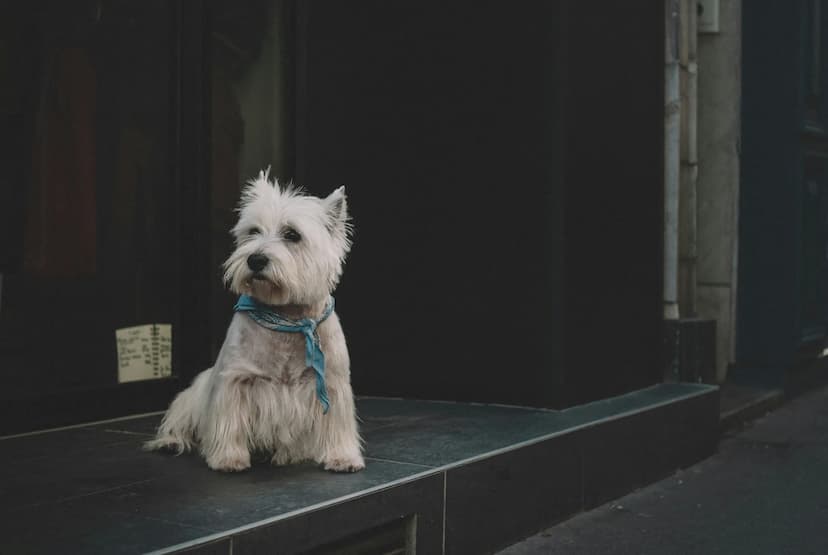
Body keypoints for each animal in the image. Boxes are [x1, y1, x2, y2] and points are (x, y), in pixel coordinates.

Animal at [144, 170, 364, 474]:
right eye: (253, 231)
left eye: (292, 234)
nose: (255, 259)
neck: (287, 317)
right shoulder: (236, 380)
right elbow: (230, 421)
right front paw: (229, 458)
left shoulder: (332, 382)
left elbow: (337, 424)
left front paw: (342, 457)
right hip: (192, 396)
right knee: (179, 422)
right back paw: (170, 442)